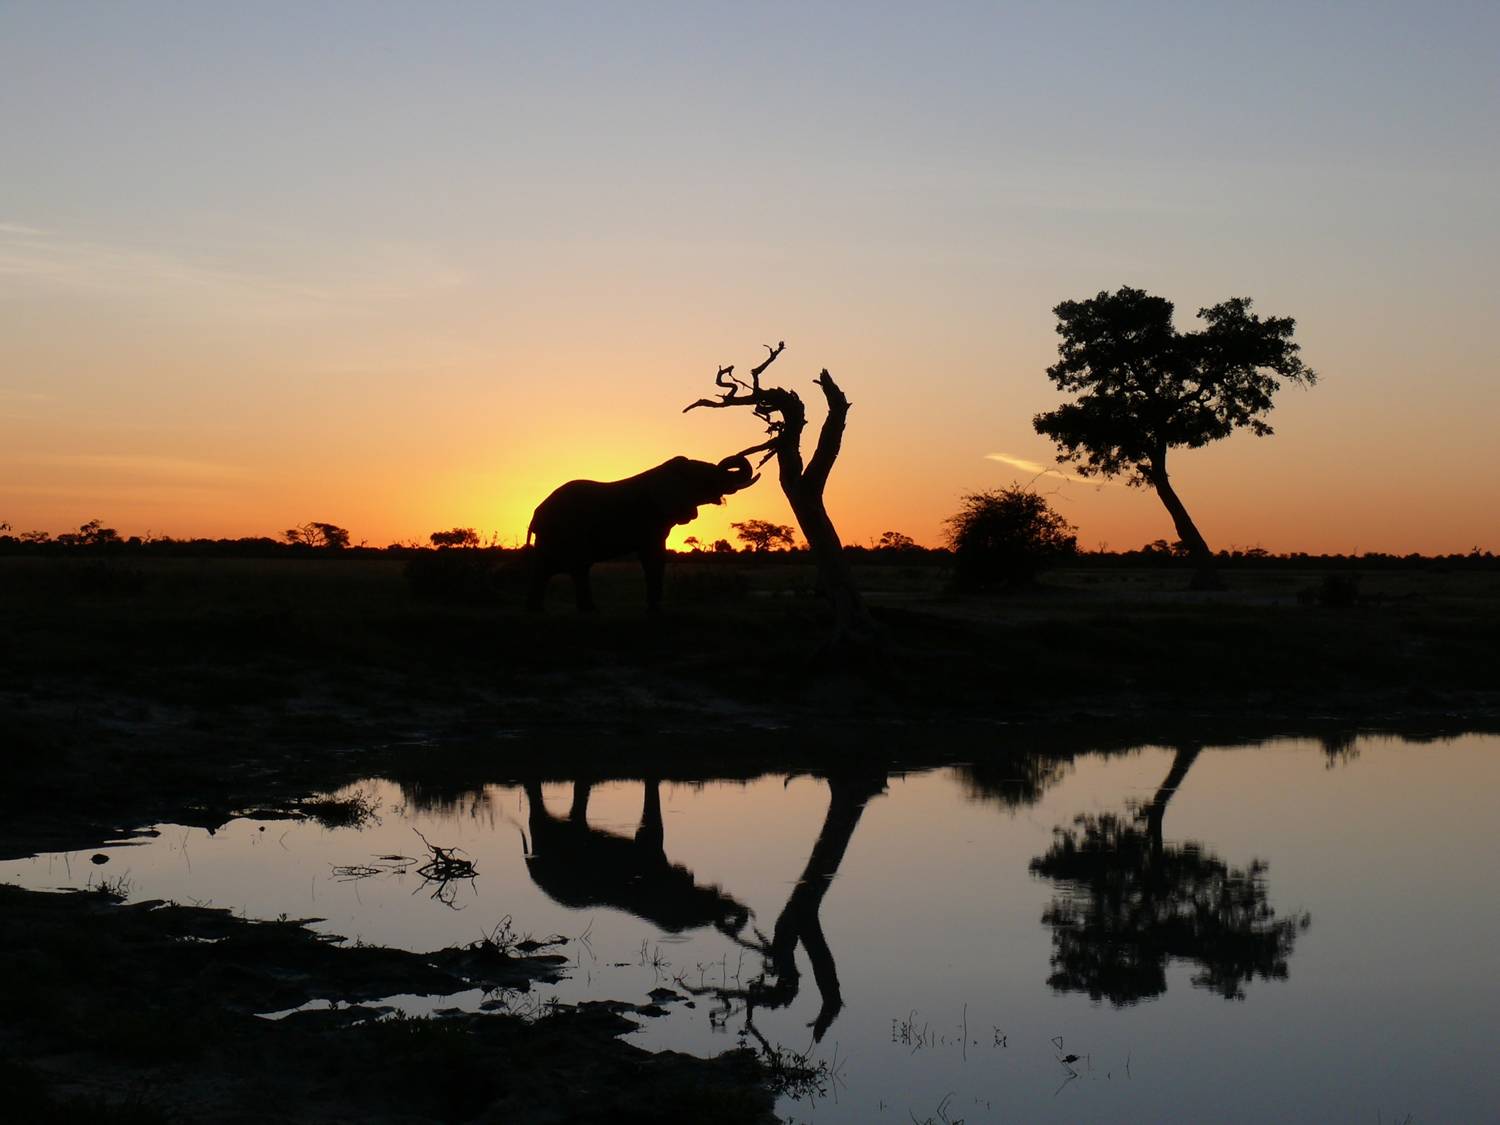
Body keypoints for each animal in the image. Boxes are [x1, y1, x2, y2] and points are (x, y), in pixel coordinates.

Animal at [531, 453, 762, 612]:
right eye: (705, 478)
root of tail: (536, 514)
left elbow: (657, 558)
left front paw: (655, 608)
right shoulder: (650, 517)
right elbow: (652, 557)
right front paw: (655, 611)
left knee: (550, 568)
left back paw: (540, 611)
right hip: (568, 531)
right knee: (575, 566)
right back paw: (588, 612)